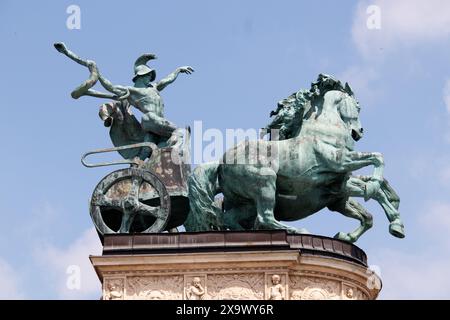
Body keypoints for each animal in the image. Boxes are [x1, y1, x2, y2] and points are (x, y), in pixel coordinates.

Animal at [185, 74, 404, 242]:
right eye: (357, 106)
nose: (358, 132)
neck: (323, 129)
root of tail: (221, 163)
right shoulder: (340, 161)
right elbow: (377, 158)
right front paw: (376, 189)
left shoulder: (339, 187)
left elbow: (368, 211)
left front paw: (393, 224)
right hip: (265, 182)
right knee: (264, 217)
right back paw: (295, 231)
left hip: (245, 203)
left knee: (231, 218)